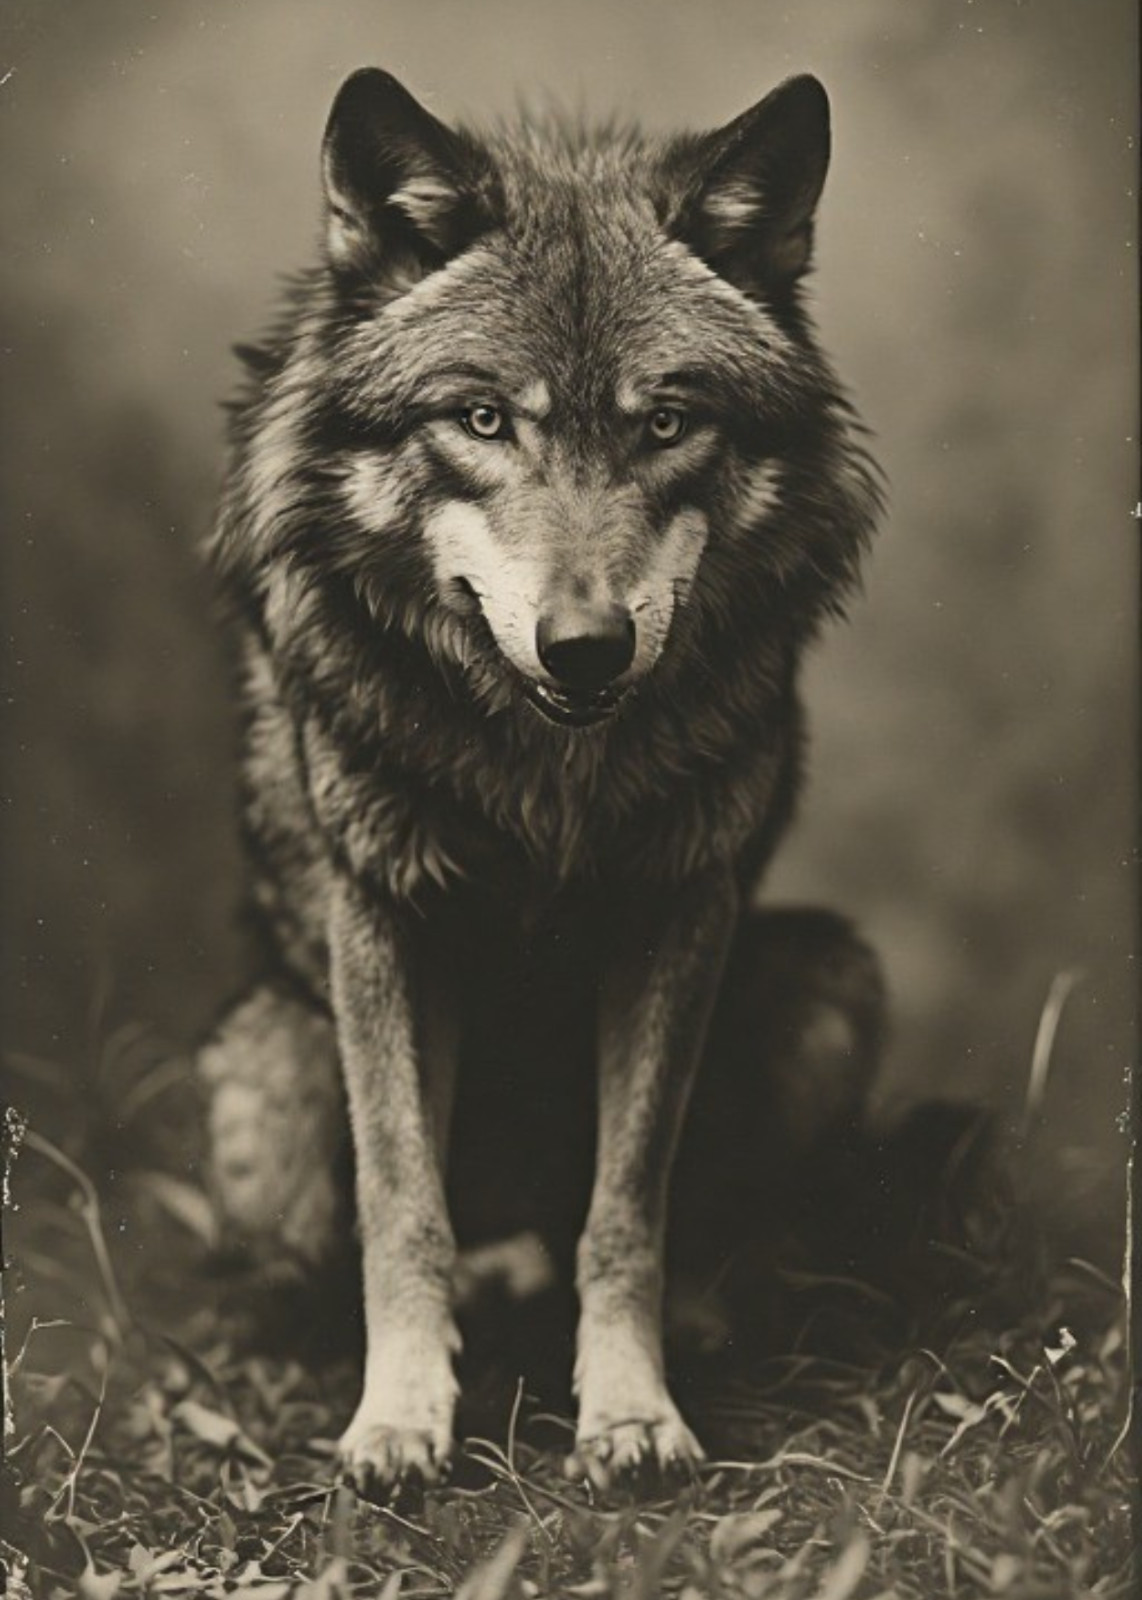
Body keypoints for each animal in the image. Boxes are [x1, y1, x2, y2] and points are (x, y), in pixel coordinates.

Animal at [199, 66, 885, 1495]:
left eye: (666, 424)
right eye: (480, 418)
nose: (585, 646)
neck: (545, 777)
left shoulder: (680, 911)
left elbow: (627, 1203)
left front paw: (630, 1412)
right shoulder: (380, 921)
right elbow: (402, 1203)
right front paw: (398, 1420)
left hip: (826, 980)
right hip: (263, 1075)